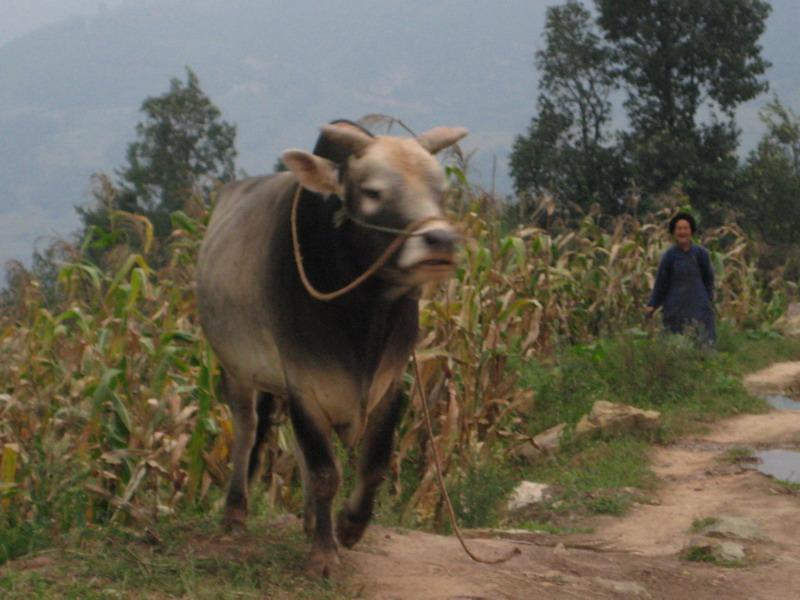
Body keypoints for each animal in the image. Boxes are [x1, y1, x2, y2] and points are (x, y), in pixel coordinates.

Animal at [195, 120, 468, 576]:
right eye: (373, 191)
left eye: (440, 190)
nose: (441, 240)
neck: (362, 315)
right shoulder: (305, 386)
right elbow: (326, 472)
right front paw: (323, 555)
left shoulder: (390, 385)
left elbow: (373, 464)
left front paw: (349, 527)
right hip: (237, 371)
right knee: (248, 432)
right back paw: (235, 512)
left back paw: (308, 520)